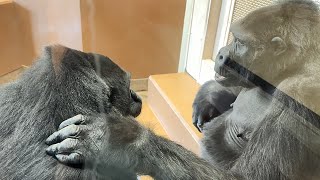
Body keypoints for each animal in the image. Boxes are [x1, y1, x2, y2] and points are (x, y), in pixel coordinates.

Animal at [43, 0, 320, 179]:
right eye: (234, 38)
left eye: (240, 43)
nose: (221, 54)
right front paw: (207, 99)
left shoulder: (302, 92)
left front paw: (117, 140)